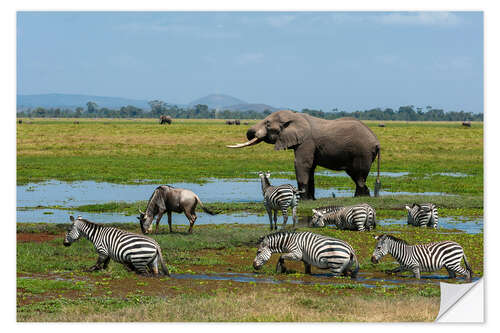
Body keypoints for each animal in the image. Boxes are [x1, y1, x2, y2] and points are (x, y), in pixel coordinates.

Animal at [229, 110, 380, 198]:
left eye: (267, 124)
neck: (295, 116)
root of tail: (377, 142)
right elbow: (310, 167)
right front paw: (311, 199)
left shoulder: (307, 142)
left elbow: (301, 164)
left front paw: (304, 199)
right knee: (356, 176)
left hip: (362, 153)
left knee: (359, 176)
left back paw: (358, 198)